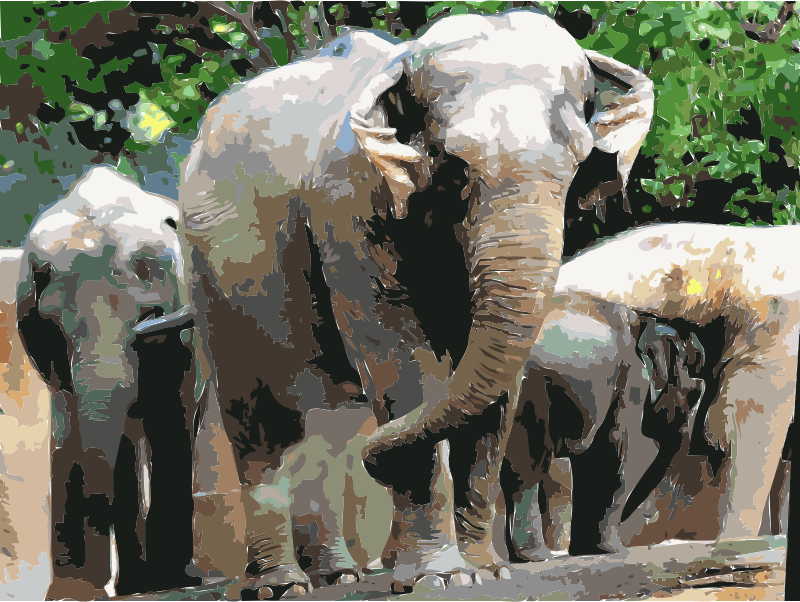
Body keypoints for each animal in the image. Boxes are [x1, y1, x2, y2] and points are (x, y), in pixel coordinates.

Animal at [12, 166, 196, 599]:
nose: (102, 585)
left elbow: (170, 414)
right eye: (57, 325)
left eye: (151, 315)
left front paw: (171, 580)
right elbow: (68, 428)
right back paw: (134, 584)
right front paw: (72, 593)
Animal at [144, 7, 652, 596]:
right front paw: (441, 578)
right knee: (256, 420)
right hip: (214, 272)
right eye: (452, 165)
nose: (381, 462)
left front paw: (487, 570)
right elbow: (398, 359)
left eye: (577, 161)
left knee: (325, 427)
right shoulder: (350, 207)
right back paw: (282, 584)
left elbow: (495, 388)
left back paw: (337, 574)